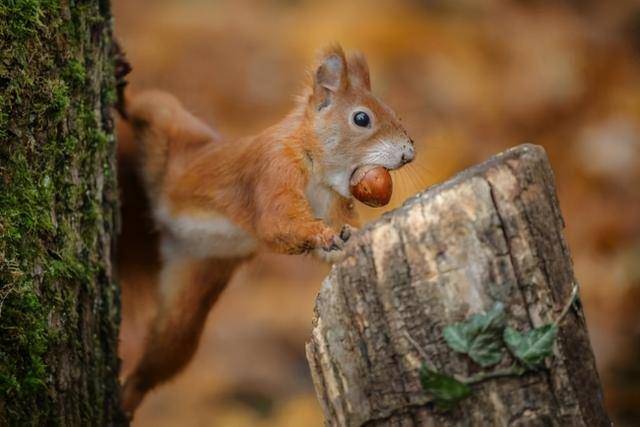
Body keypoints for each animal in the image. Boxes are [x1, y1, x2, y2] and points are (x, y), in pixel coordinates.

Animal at [115, 45, 416, 416]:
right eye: (362, 119)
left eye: (393, 111)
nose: (408, 152)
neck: (316, 167)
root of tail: (167, 228)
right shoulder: (273, 171)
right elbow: (276, 222)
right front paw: (323, 235)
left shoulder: (330, 202)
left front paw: (348, 240)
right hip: (171, 127)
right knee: (147, 105)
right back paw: (120, 83)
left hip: (193, 288)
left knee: (163, 354)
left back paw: (129, 397)